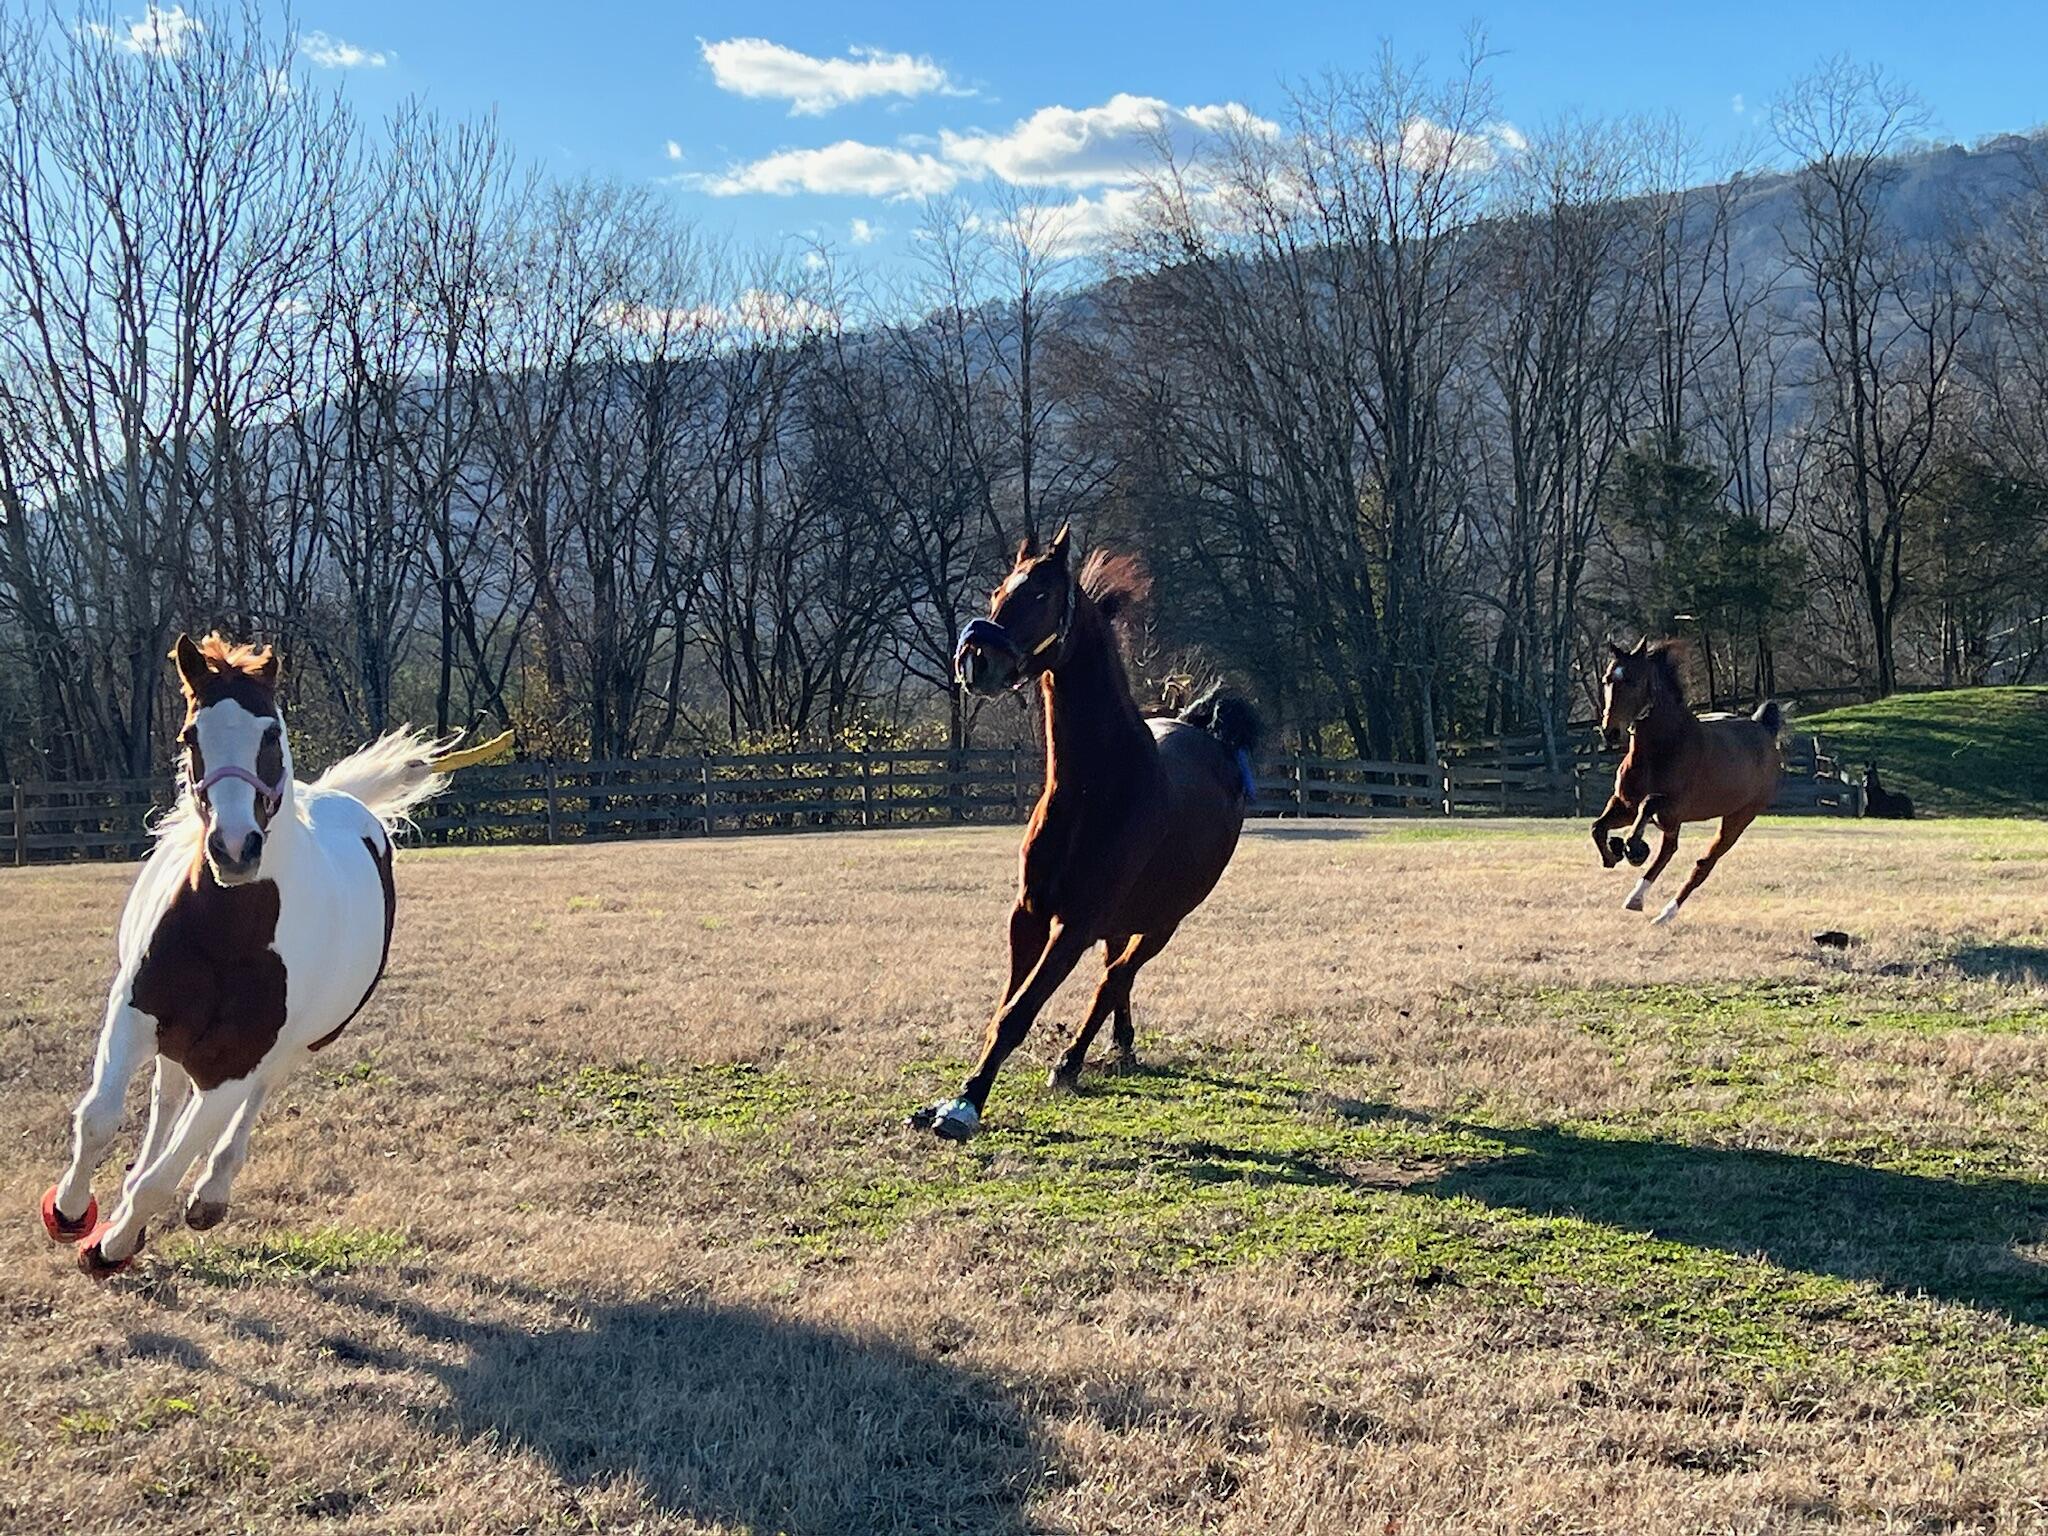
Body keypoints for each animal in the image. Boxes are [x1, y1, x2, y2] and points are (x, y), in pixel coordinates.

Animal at [40, 633, 476, 1277]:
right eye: (189, 736)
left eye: (271, 733)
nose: (234, 848)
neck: (232, 936)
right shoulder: (136, 1012)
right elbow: (99, 1117)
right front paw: (70, 1214)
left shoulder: (237, 1060)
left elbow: (165, 1177)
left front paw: (109, 1247)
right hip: (178, 1038)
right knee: (167, 1099)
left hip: (294, 1045)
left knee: (247, 1104)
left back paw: (207, 1197)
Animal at [908, 526, 1263, 1140]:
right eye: (998, 590)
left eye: (1043, 595)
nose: (975, 659)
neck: (1092, 792)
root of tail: (1210, 733)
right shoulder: (1028, 914)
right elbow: (1005, 1005)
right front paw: (952, 1096)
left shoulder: (1074, 926)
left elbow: (1018, 1014)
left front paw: (965, 1106)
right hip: (1122, 922)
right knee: (1116, 976)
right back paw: (1117, 1046)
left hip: (1163, 921)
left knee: (1114, 978)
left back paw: (1072, 1060)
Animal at [1589, 638, 1783, 925]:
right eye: (1607, 679)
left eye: (1634, 681)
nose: (1610, 731)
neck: (1659, 748)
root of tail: (1764, 729)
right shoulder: (1625, 806)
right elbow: (1598, 828)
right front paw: (1613, 854)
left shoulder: (1671, 808)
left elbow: (1649, 805)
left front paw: (1634, 849)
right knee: (1669, 850)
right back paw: (1637, 896)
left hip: (1738, 819)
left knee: (1701, 863)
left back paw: (1662, 912)